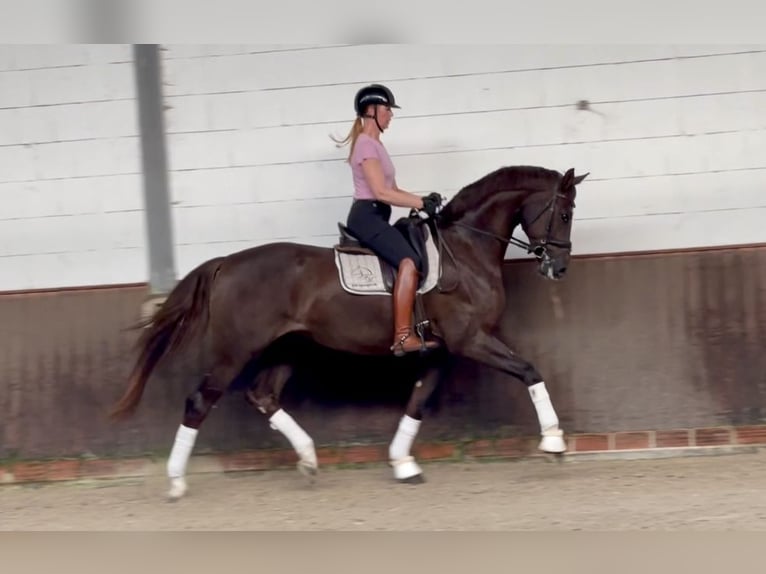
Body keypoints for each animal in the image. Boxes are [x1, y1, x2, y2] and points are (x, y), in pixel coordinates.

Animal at [109, 165, 588, 500]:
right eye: (564, 213)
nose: (560, 267)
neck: (466, 251)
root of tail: (226, 262)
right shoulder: (470, 340)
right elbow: (530, 371)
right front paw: (554, 442)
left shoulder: (440, 350)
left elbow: (417, 401)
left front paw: (402, 464)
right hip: (234, 352)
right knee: (199, 402)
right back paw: (176, 483)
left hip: (287, 347)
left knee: (263, 394)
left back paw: (308, 460)